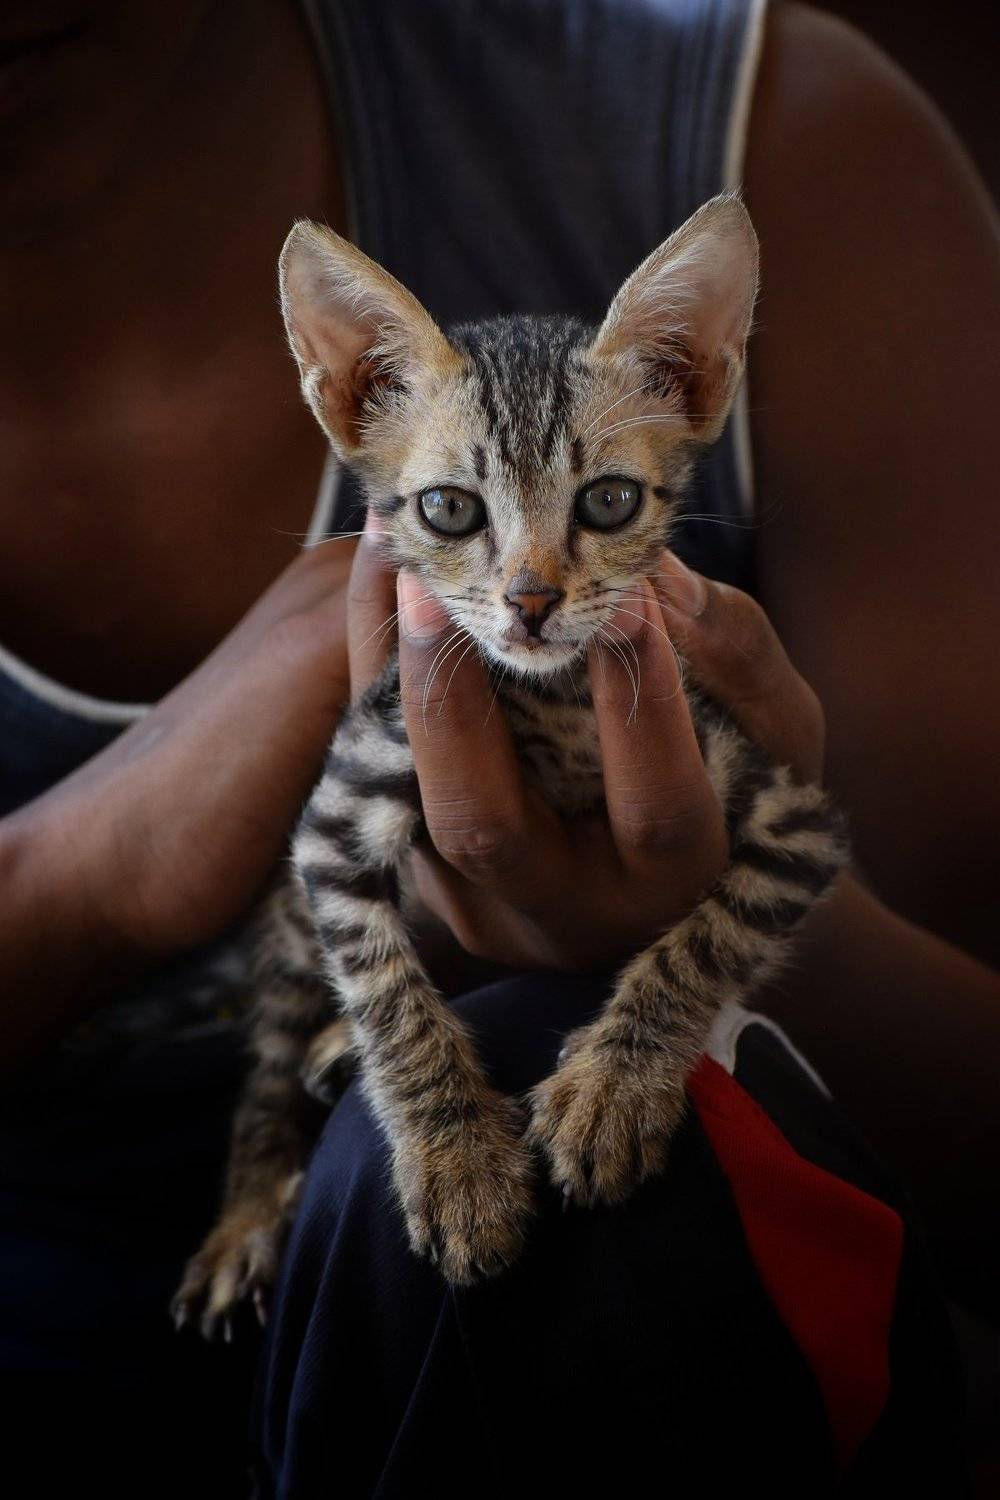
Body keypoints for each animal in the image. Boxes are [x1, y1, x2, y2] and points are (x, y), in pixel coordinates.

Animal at [172, 194, 847, 1336]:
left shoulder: (792, 815)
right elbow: (389, 996)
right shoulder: (336, 816)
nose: (531, 602)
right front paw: (456, 1166)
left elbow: (704, 939)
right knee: (268, 1055)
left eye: (608, 501)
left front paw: (613, 1091)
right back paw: (251, 1207)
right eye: (449, 508)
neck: (561, 701)